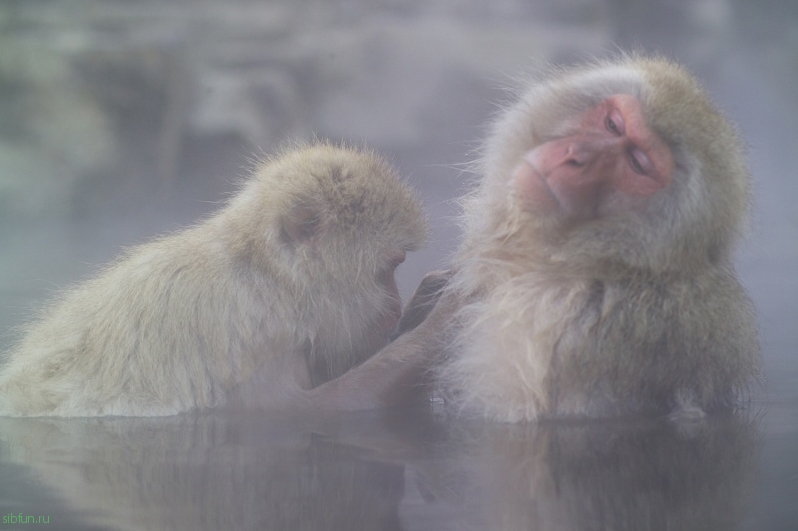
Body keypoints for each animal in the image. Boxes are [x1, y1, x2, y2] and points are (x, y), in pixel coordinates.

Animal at [0, 143, 432, 418]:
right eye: (389, 269)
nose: (395, 307)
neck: (268, 279)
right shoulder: (252, 334)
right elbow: (302, 409)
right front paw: (435, 327)